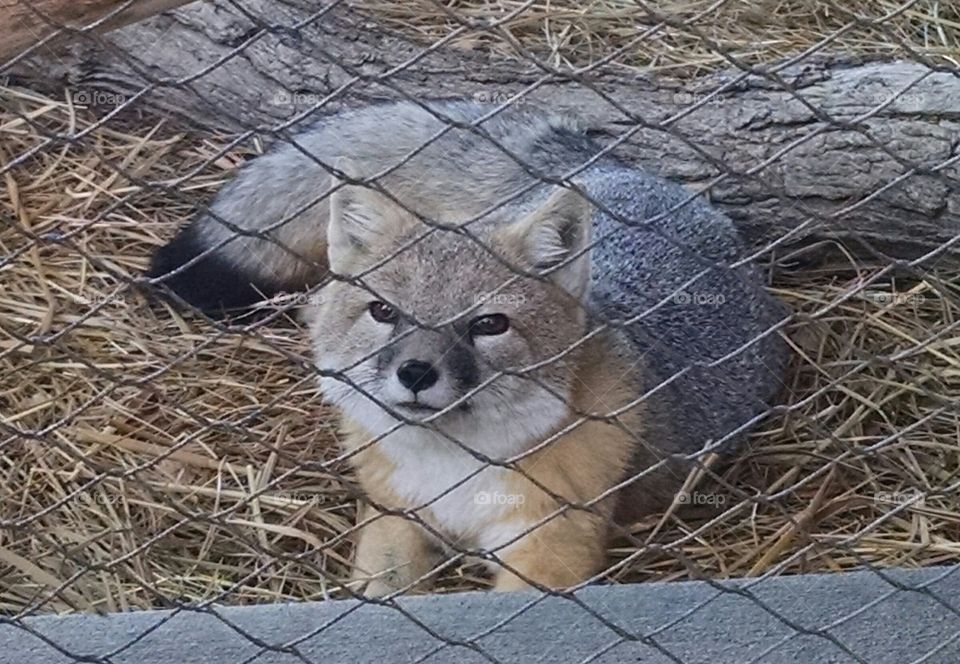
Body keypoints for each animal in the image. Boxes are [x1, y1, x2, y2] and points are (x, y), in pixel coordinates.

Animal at [149, 100, 788, 596]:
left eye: (488, 325)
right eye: (384, 312)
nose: (414, 372)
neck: (450, 469)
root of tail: (614, 168)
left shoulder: (549, 546)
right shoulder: (392, 516)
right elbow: (380, 592)